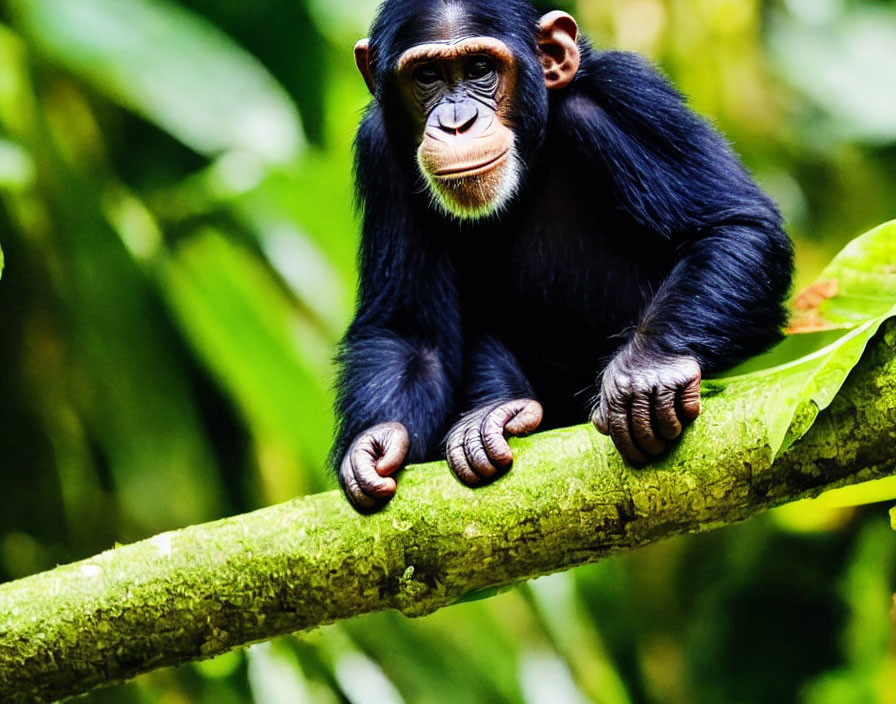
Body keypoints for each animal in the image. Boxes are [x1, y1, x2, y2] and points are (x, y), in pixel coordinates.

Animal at [332, 0, 796, 508]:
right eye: (427, 75)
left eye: (480, 69)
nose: (457, 122)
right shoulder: (379, 150)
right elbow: (411, 332)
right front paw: (378, 442)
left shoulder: (630, 95)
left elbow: (732, 225)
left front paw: (647, 371)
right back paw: (499, 412)